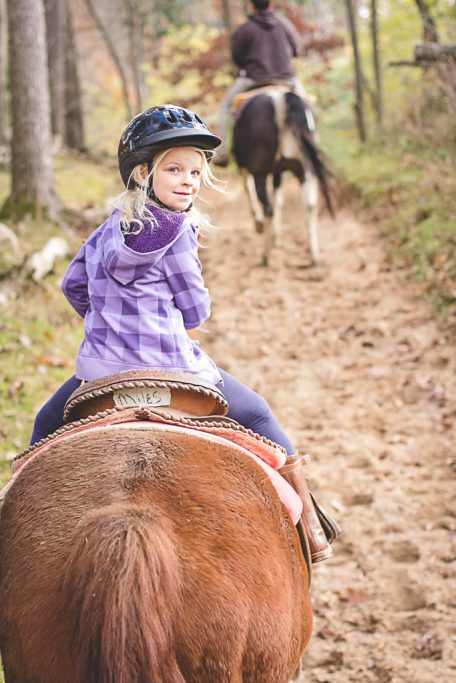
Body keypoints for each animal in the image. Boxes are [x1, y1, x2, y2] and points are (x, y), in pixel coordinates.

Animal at [233, 88, 334, 264]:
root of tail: (282, 99)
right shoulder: (278, 172)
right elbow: (279, 199)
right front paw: (277, 238)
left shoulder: (245, 167)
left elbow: (250, 189)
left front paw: (260, 225)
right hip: (304, 169)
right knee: (309, 205)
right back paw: (314, 255)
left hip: (260, 173)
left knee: (268, 207)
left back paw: (265, 255)